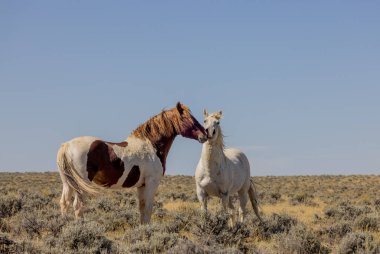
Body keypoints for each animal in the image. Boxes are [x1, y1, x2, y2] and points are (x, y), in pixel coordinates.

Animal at [56, 102, 206, 223]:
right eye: (186, 118)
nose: (205, 135)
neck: (151, 145)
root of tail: (67, 145)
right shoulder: (152, 182)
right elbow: (148, 208)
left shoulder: (142, 185)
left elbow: (142, 208)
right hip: (80, 185)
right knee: (78, 206)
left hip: (68, 183)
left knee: (65, 203)